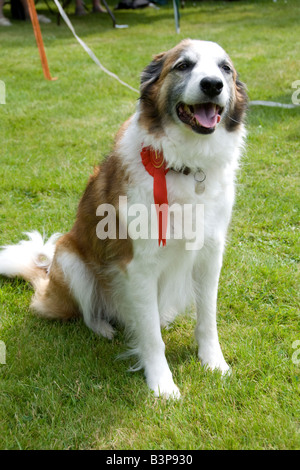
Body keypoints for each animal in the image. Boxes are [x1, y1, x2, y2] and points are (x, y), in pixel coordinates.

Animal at [0, 41, 247, 400]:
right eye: (183, 66)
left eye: (224, 69)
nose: (212, 85)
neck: (186, 164)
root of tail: (47, 284)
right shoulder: (138, 265)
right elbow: (152, 339)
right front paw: (162, 384)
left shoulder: (210, 255)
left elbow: (207, 319)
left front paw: (214, 363)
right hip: (70, 258)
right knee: (89, 312)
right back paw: (104, 327)